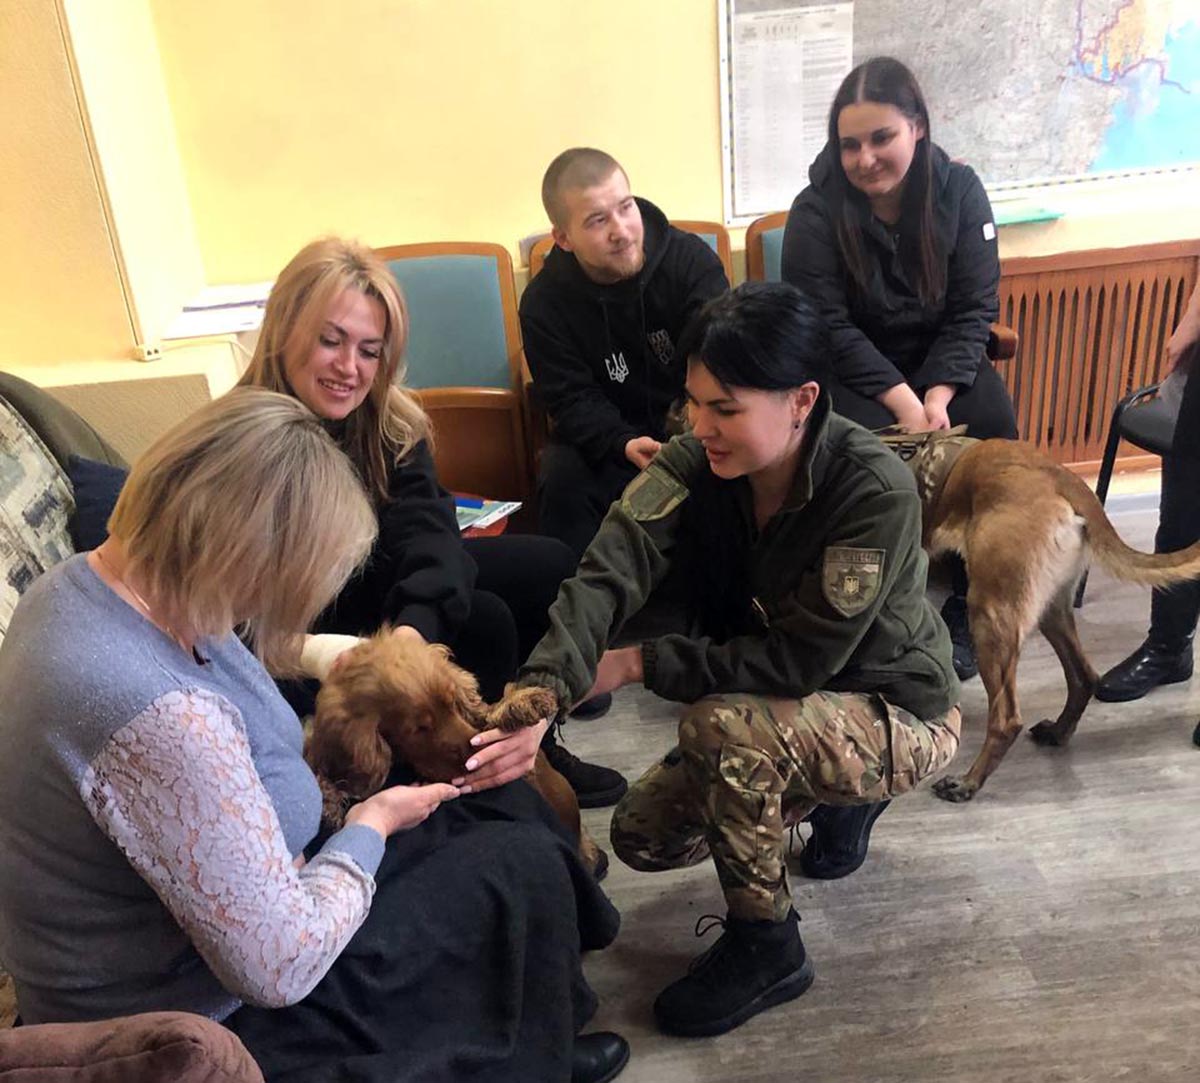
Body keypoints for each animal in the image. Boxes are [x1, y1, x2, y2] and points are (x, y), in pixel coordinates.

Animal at [304, 632, 602, 872]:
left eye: (452, 704)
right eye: (419, 728)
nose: (474, 757)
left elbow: (488, 714)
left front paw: (526, 701)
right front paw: (326, 800)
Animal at [887, 430, 1200, 802]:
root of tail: (1063, 479)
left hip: (991, 613)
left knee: (1006, 718)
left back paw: (967, 782)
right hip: (1051, 608)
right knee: (1084, 677)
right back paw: (1058, 732)